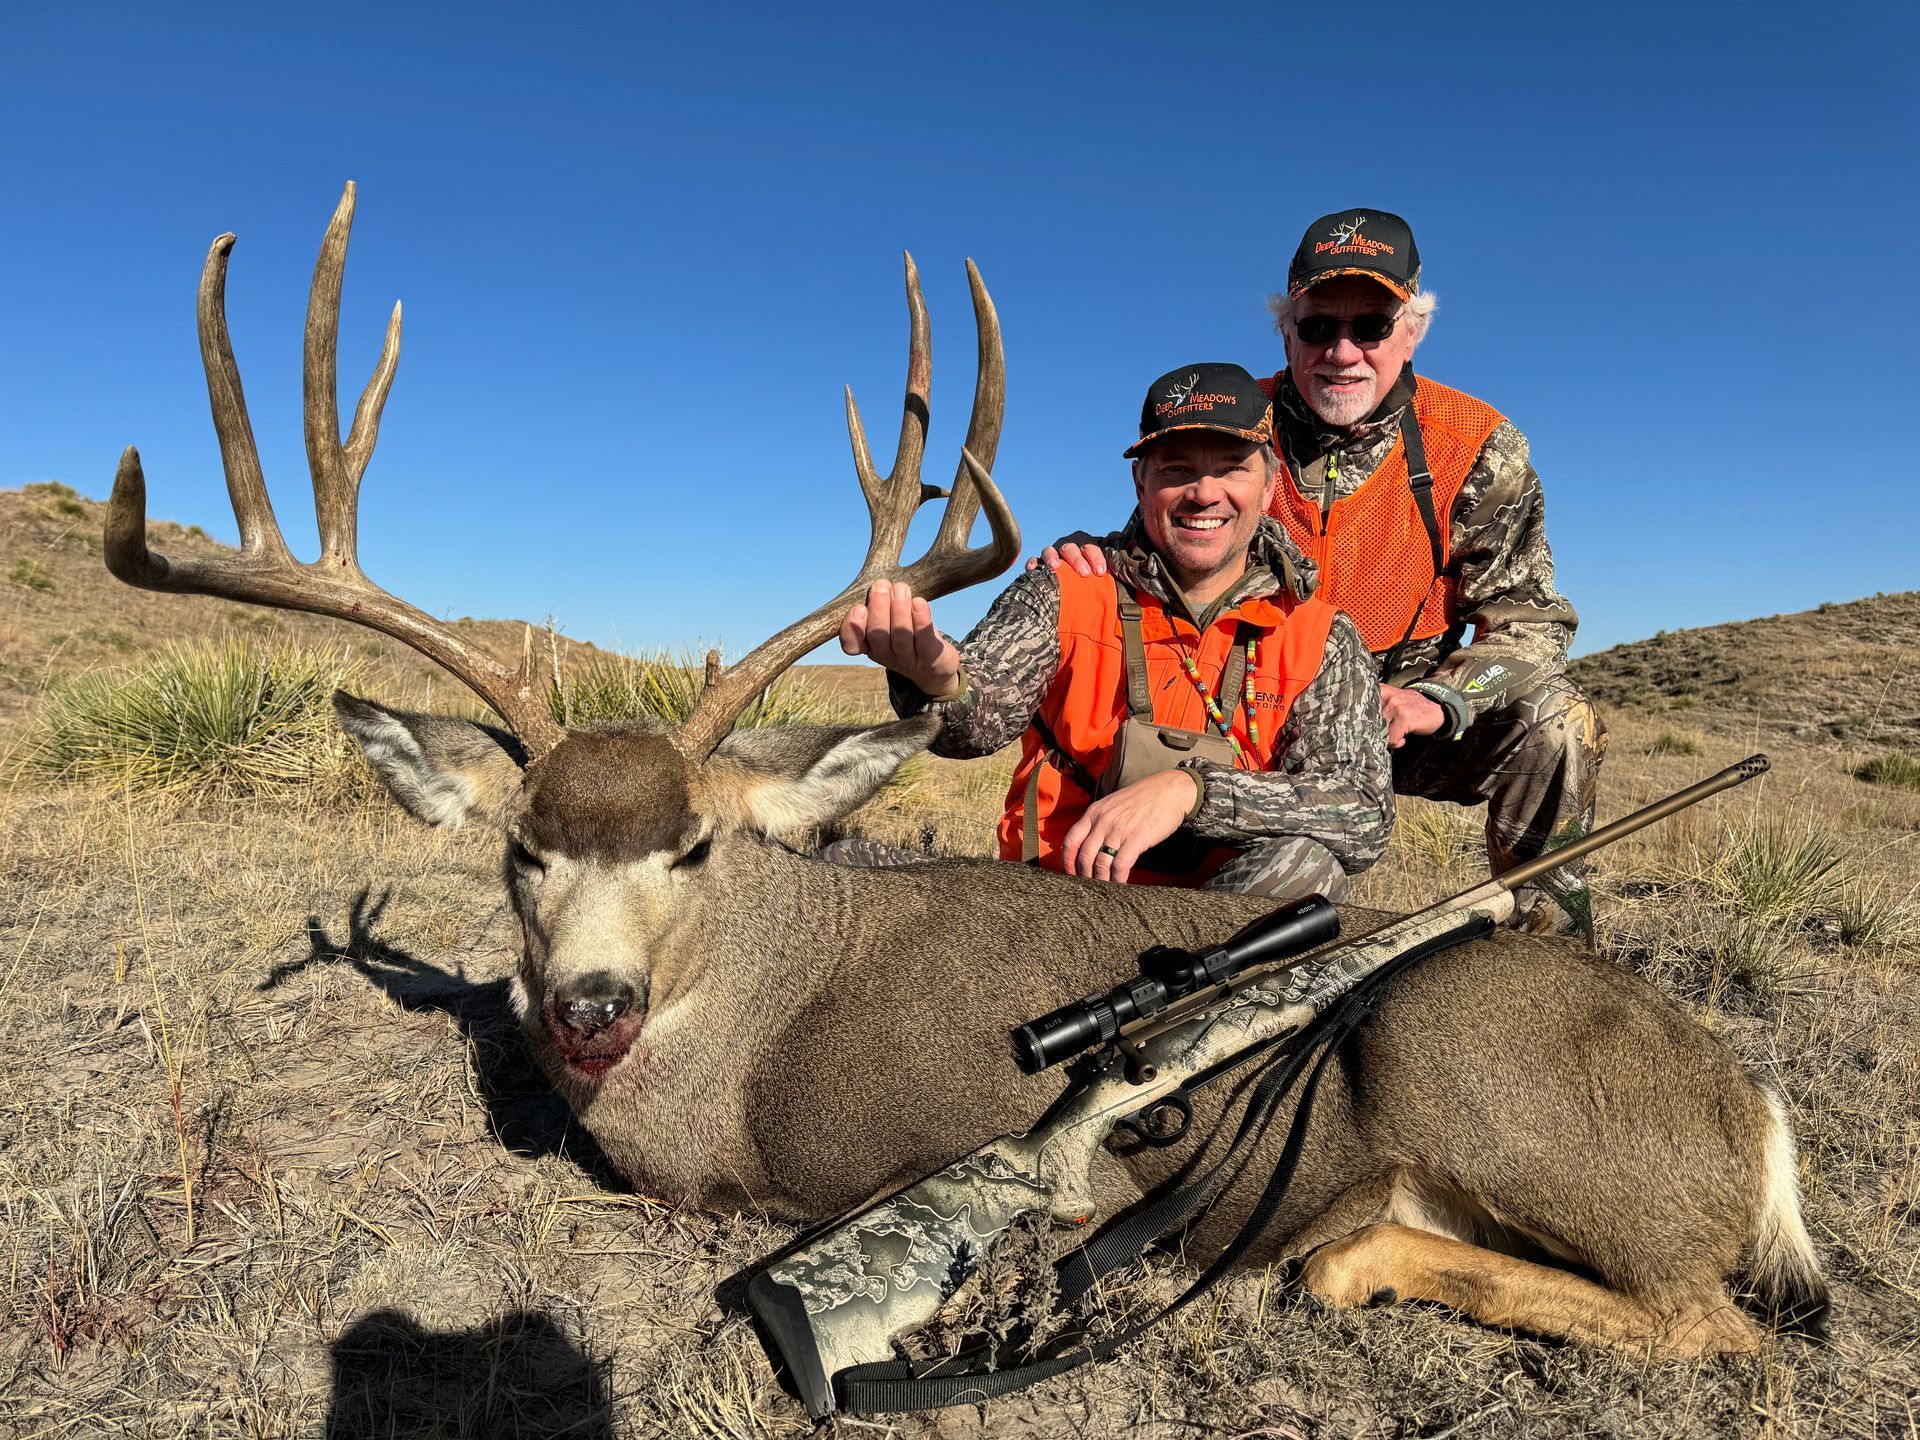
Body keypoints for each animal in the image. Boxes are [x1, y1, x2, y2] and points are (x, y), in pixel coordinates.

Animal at [106, 183, 1828, 1362]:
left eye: (696, 849)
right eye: (524, 846)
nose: (588, 1006)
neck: (736, 1062)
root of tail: (1755, 1113)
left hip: (1458, 1057)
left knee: (1708, 1321)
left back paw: (1343, 1251)